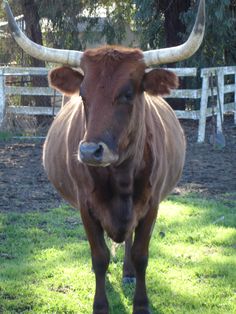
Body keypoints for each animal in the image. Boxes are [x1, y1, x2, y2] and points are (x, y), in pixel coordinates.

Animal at [3, 1, 206, 312]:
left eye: (128, 94)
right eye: (83, 95)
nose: (89, 151)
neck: (121, 176)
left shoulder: (152, 205)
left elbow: (141, 255)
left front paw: (141, 302)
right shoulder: (86, 207)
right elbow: (99, 257)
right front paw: (100, 304)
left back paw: (128, 273)